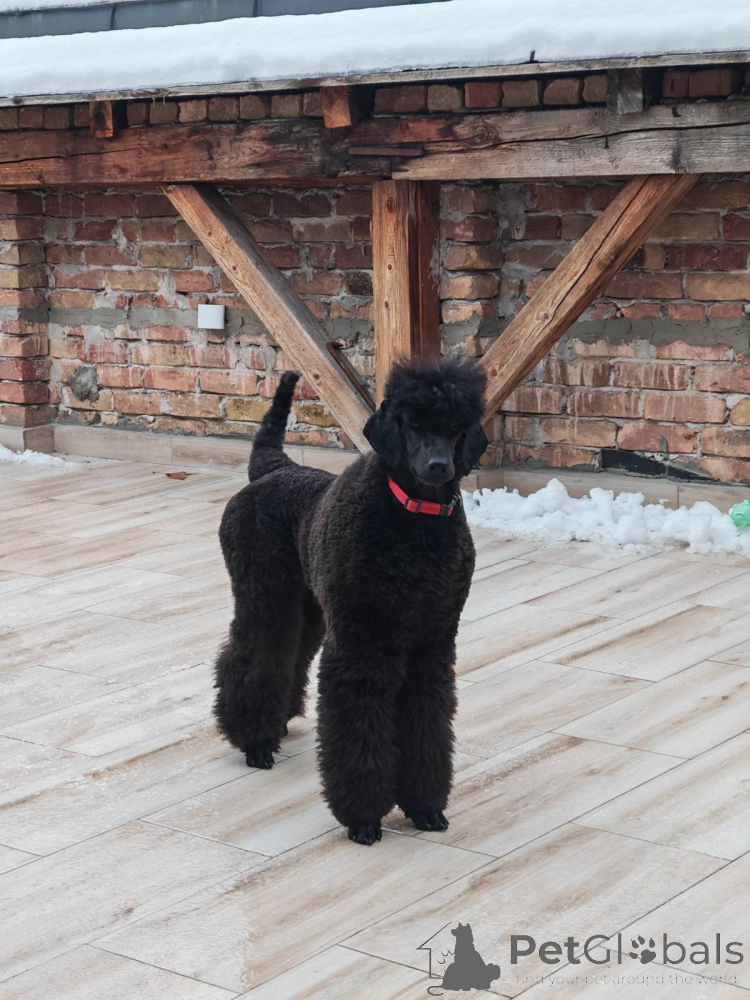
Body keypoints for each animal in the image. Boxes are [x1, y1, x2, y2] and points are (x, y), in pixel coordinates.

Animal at [214, 356, 488, 844]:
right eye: (413, 423)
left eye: (457, 428)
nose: (438, 466)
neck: (413, 523)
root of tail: (271, 467)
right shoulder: (362, 645)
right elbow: (358, 725)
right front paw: (363, 818)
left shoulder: (432, 645)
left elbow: (427, 724)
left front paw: (425, 808)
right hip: (265, 596)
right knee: (250, 656)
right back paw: (255, 741)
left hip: (311, 608)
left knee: (290, 657)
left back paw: (278, 721)